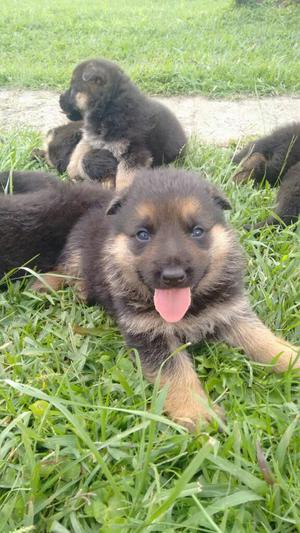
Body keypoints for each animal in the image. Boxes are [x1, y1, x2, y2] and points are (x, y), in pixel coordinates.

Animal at [2, 168, 298, 430]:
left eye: (197, 231)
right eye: (143, 235)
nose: (173, 276)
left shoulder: (230, 311)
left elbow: (261, 338)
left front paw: (290, 358)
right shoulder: (150, 334)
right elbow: (176, 373)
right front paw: (197, 410)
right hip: (79, 249)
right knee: (67, 266)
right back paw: (46, 285)